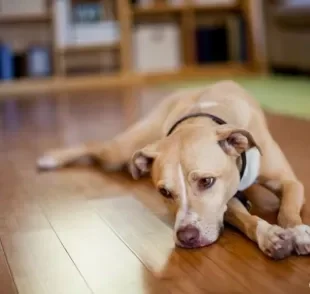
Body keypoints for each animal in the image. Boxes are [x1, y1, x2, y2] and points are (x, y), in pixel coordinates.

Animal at [37, 80, 310, 260]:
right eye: (165, 193)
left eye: (206, 181)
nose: (186, 237)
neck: (203, 118)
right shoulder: (224, 203)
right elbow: (245, 218)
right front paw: (270, 235)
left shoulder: (289, 181)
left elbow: (287, 210)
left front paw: (297, 232)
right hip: (123, 149)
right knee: (95, 146)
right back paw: (50, 159)